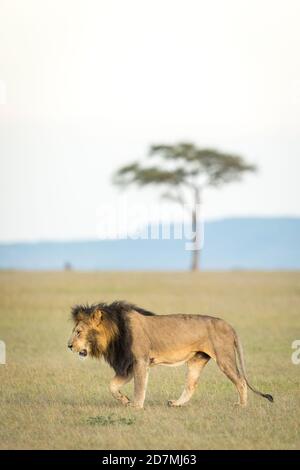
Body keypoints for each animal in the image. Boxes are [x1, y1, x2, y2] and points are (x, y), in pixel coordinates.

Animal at [67, 302, 274, 408]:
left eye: (78, 332)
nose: (69, 346)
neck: (114, 333)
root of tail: (229, 325)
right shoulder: (128, 366)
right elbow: (111, 385)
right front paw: (124, 400)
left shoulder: (140, 361)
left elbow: (139, 387)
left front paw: (136, 406)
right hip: (196, 360)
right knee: (191, 386)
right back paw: (176, 403)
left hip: (224, 358)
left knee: (240, 380)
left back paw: (241, 405)